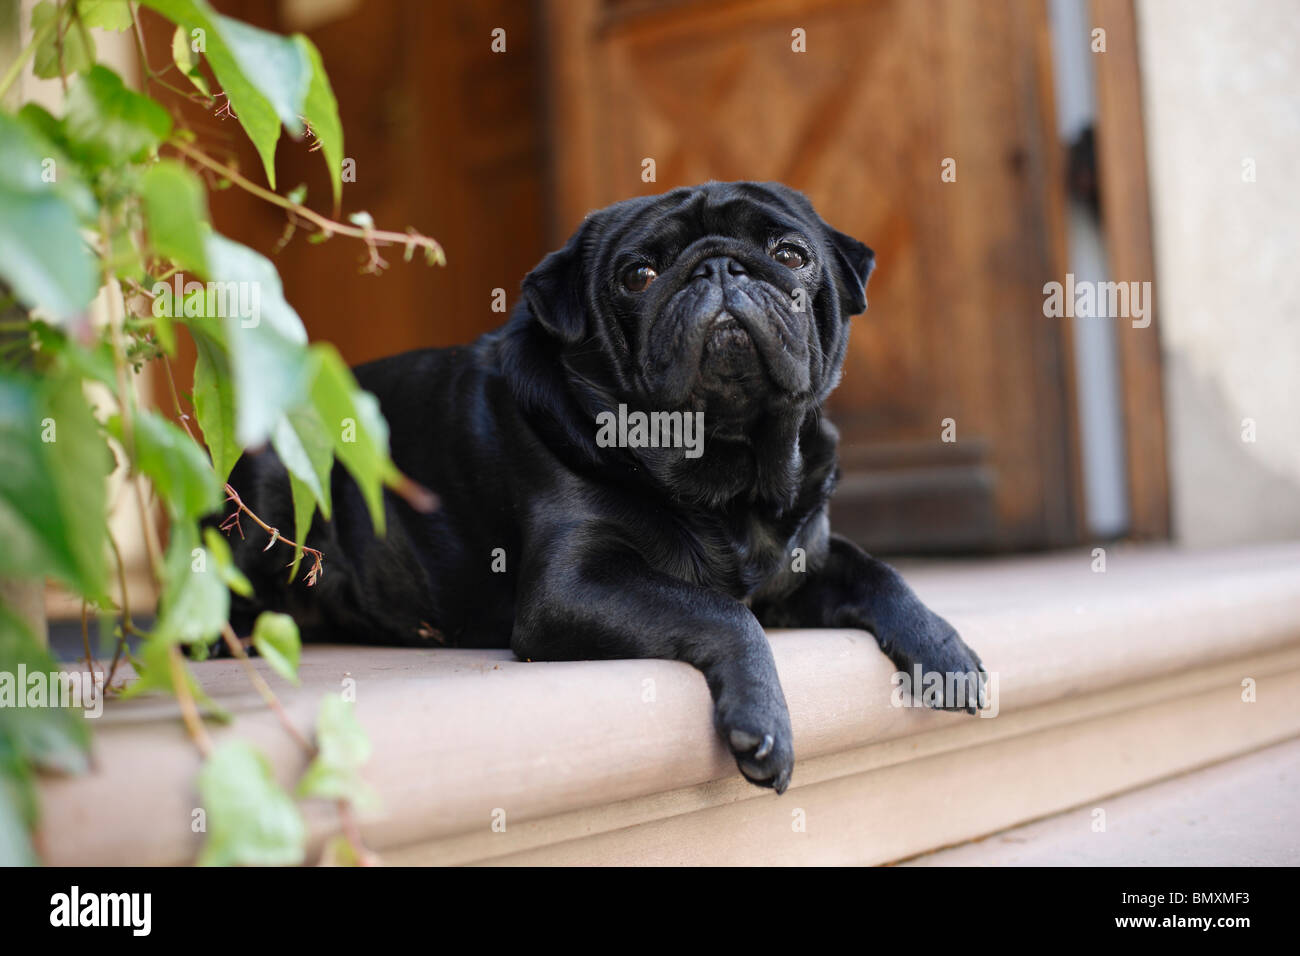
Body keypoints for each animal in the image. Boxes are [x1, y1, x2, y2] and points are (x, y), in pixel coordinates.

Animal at [231, 179, 982, 790]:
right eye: (639, 275)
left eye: (792, 254)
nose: (718, 264)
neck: (729, 472)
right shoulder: (571, 588)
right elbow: (723, 612)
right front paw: (762, 719)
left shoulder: (804, 561)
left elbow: (879, 573)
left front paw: (946, 650)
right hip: (272, 477)